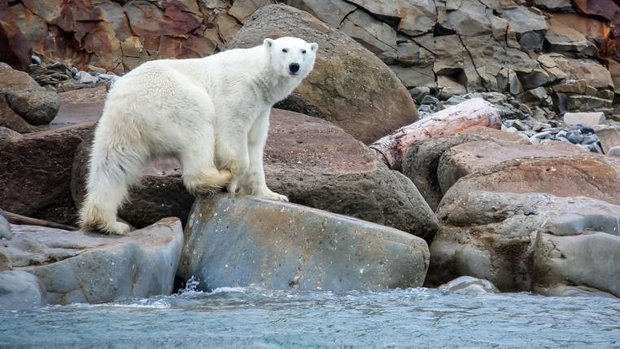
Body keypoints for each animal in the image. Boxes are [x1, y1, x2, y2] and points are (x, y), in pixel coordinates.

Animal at [79, 36, 318, 235]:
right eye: (284, 49)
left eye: (304, 51)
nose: (294, 66)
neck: (258, 76)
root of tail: (132, 104)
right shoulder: (238, 92)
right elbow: (232, 132)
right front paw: (233, 179)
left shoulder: (261, 108)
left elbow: (255, 144)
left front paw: (272, 194)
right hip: (175, 99)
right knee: (198, 128)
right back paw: (219, 177)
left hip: (118, 123)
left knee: (112, 165)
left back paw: (106, 223)